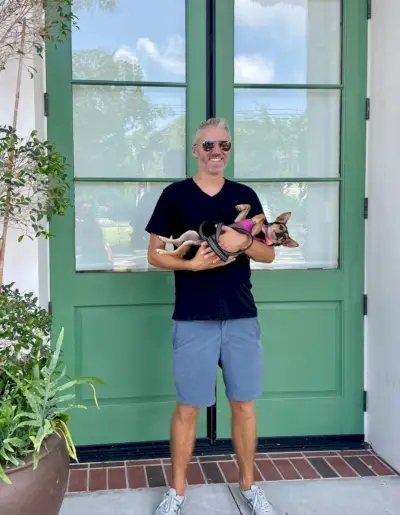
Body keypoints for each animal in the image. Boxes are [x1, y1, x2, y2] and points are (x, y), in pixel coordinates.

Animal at [155, 204, 298, 256]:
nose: (281, 237)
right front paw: (242, 207)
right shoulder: (237, 220)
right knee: (177, 242)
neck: (264, 233)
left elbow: (262, 217)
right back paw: (163, 239)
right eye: (281, 228)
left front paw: (257, 219)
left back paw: (162, 251)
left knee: (176, 252)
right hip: (191, 233)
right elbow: (250, 208)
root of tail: (199, 241)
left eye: (285, 240)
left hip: (189, 242)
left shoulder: (251, 234)